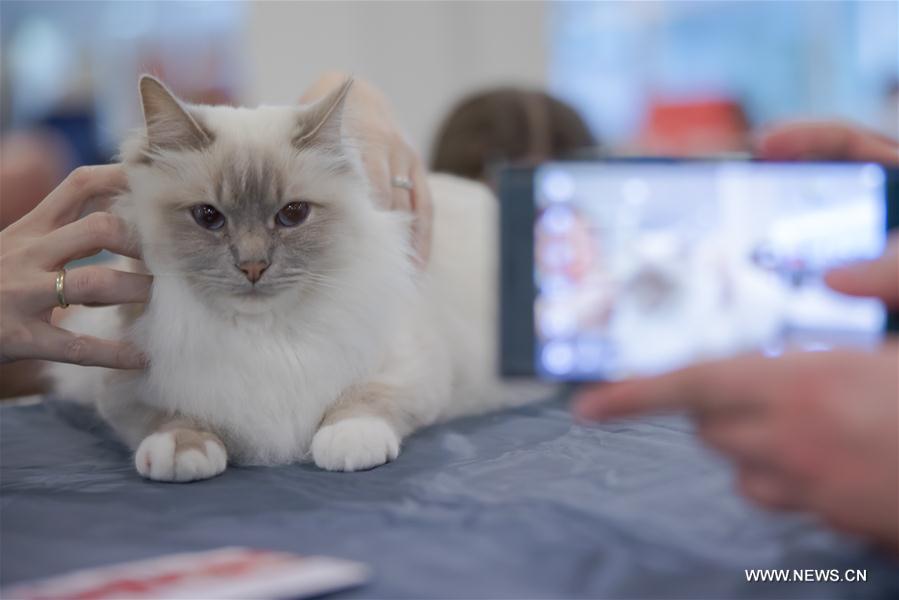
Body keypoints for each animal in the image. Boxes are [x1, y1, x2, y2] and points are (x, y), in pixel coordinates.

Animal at [52, 77, 540, 480]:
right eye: (208, 216)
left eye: (293, 214)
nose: (253, 266)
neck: (264, 336)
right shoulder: (126, 381)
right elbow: (170, 419)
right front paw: (183, 452)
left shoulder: (411, 367)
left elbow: (364, 401)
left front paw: (347, 444)